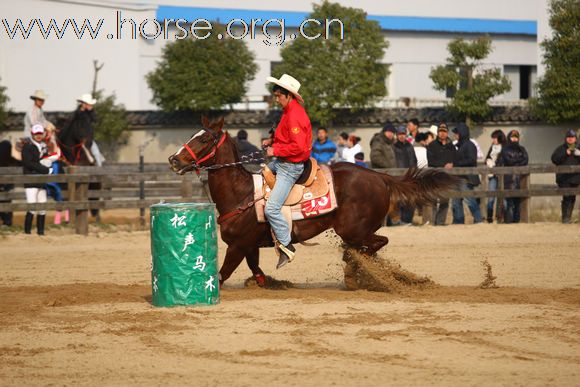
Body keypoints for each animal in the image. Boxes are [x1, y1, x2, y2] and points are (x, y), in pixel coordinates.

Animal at [168, 119, 458, 288]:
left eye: (204, 138)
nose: (174, 160)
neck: (242, 194)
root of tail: (380, 177)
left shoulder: (238, 245)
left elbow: (223, 273)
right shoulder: (249, 246)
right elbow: (256, 270)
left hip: (353, 229)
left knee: (375, 243)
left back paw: (355, 270)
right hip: (356, 230)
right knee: (368, 246)